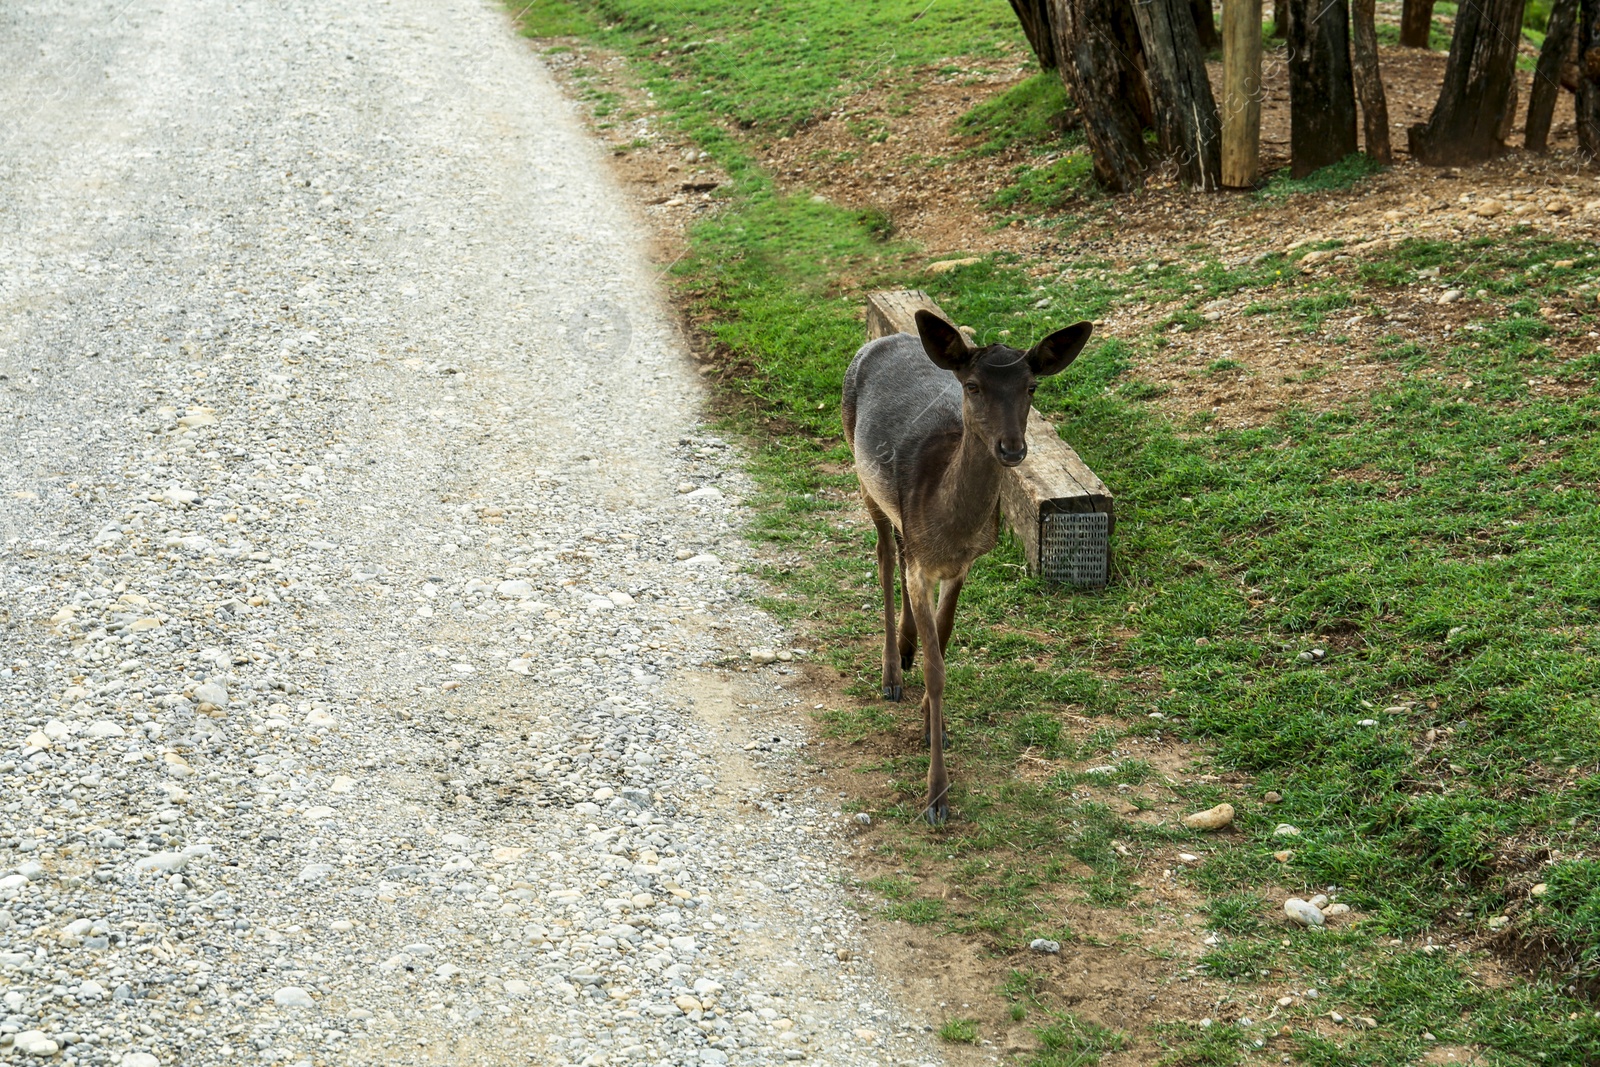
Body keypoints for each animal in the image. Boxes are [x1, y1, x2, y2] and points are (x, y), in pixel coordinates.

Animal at [838, 308, 1088, 825]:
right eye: (972, 386)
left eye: (1032, 387)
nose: (1012, 448)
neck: (947, 525)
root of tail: (884, 337)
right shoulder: (925, 563)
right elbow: (936, 670)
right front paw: (936, 797)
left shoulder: (962, 565)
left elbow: (945, 637)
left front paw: (932, 725)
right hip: (859, 465)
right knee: (885, 555)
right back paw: (892, 674)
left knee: (899, 549)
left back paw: (907, 647)